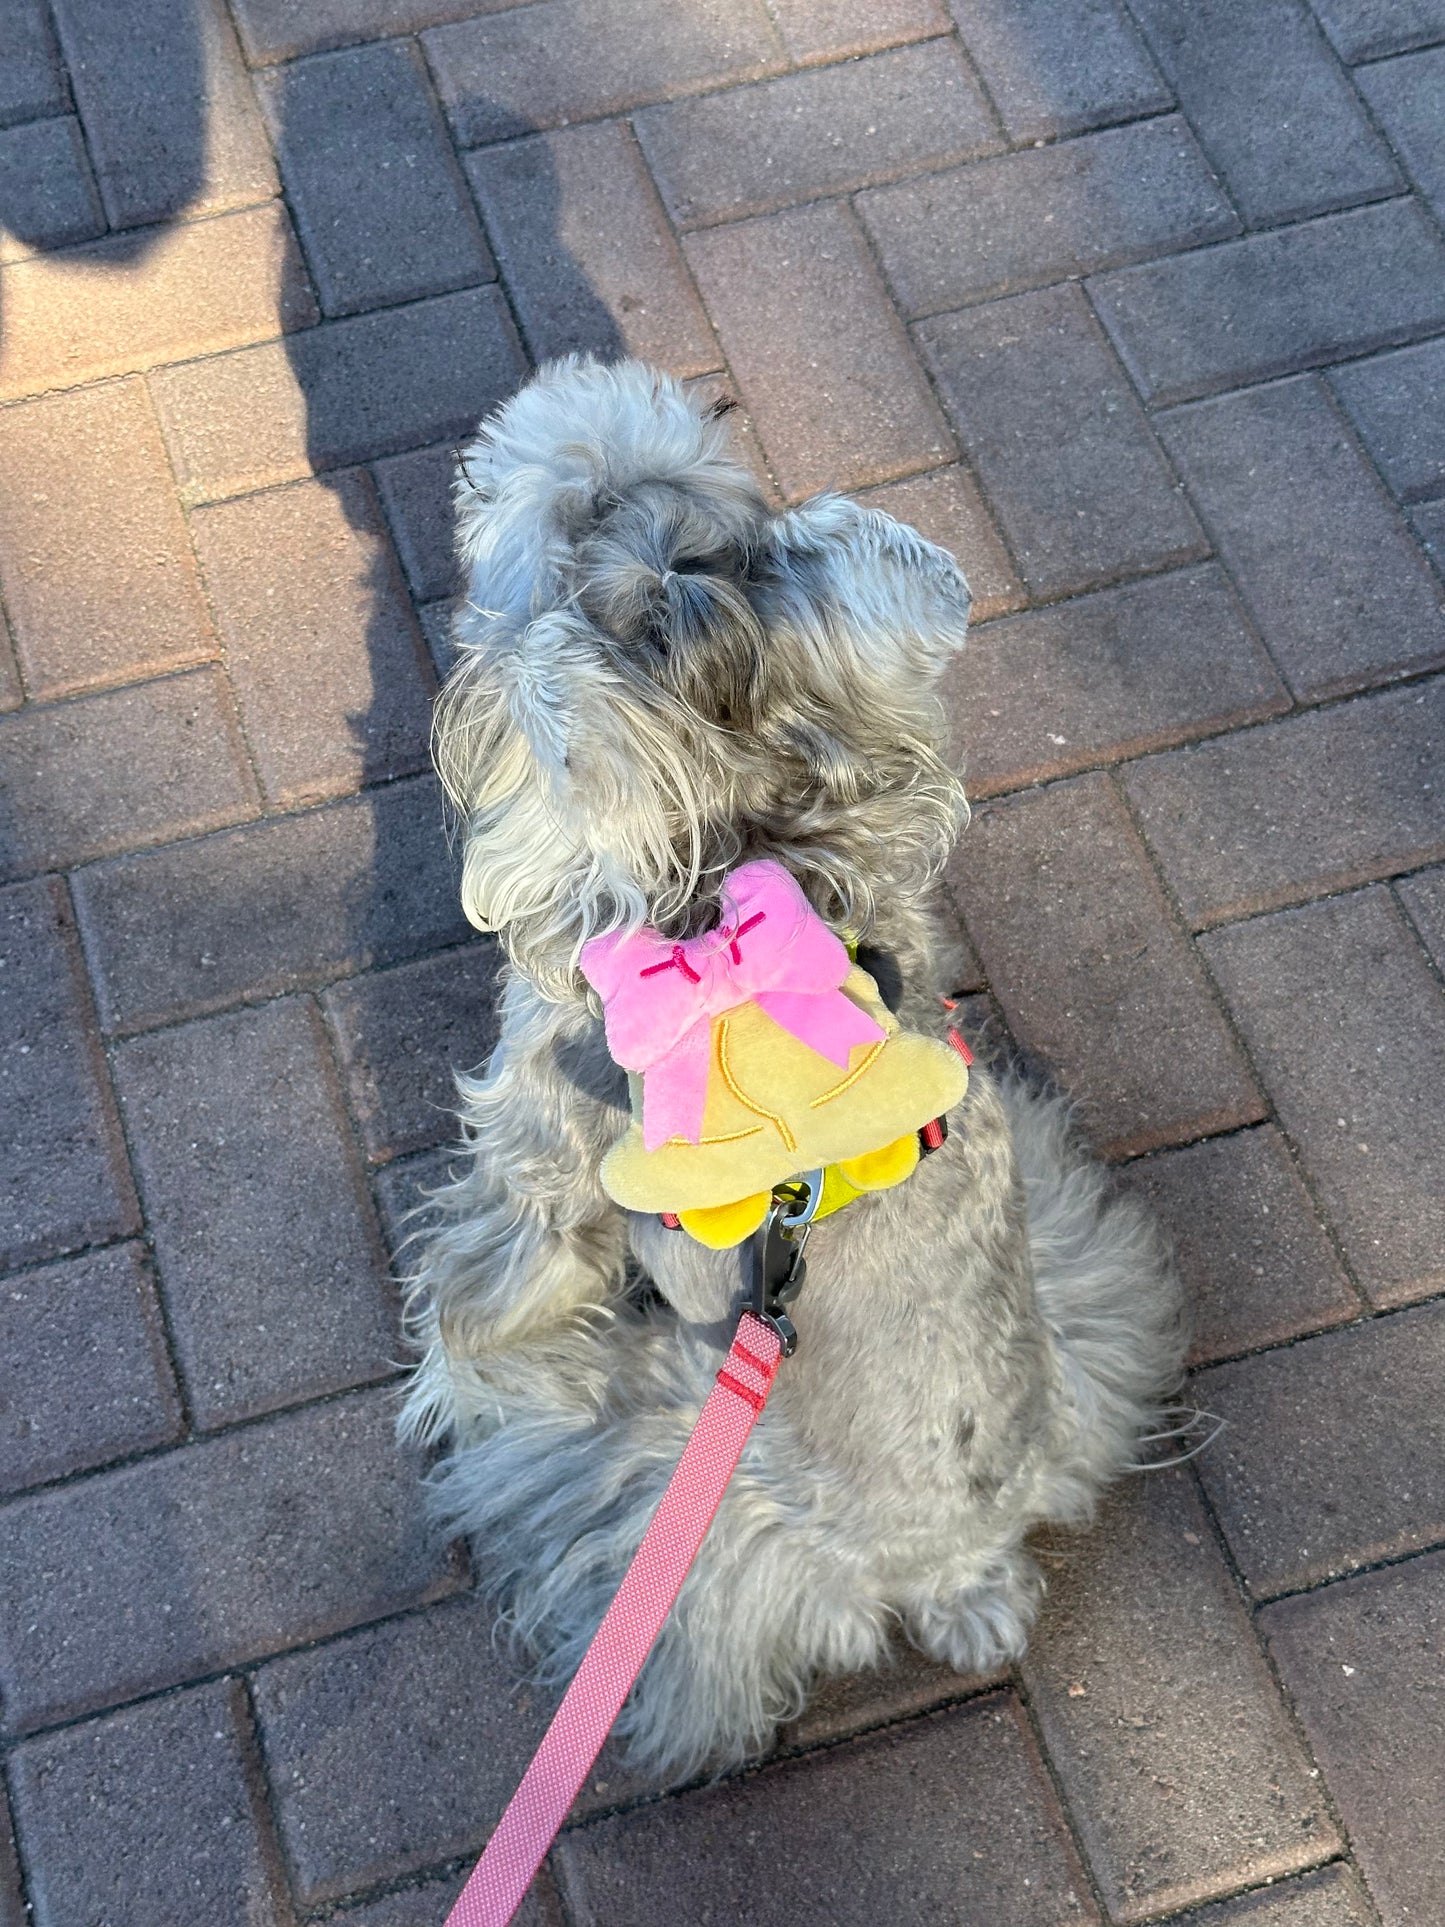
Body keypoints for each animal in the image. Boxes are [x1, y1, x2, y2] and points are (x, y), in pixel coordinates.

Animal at [398, 358, 1186, 1772]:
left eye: (574, 504)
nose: (577, 390)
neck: (739, 859)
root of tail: (962, 1572)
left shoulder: (536, 1171)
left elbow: (472, 1294)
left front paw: (440, 1384)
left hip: (656, 1462)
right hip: (1079, 1274)